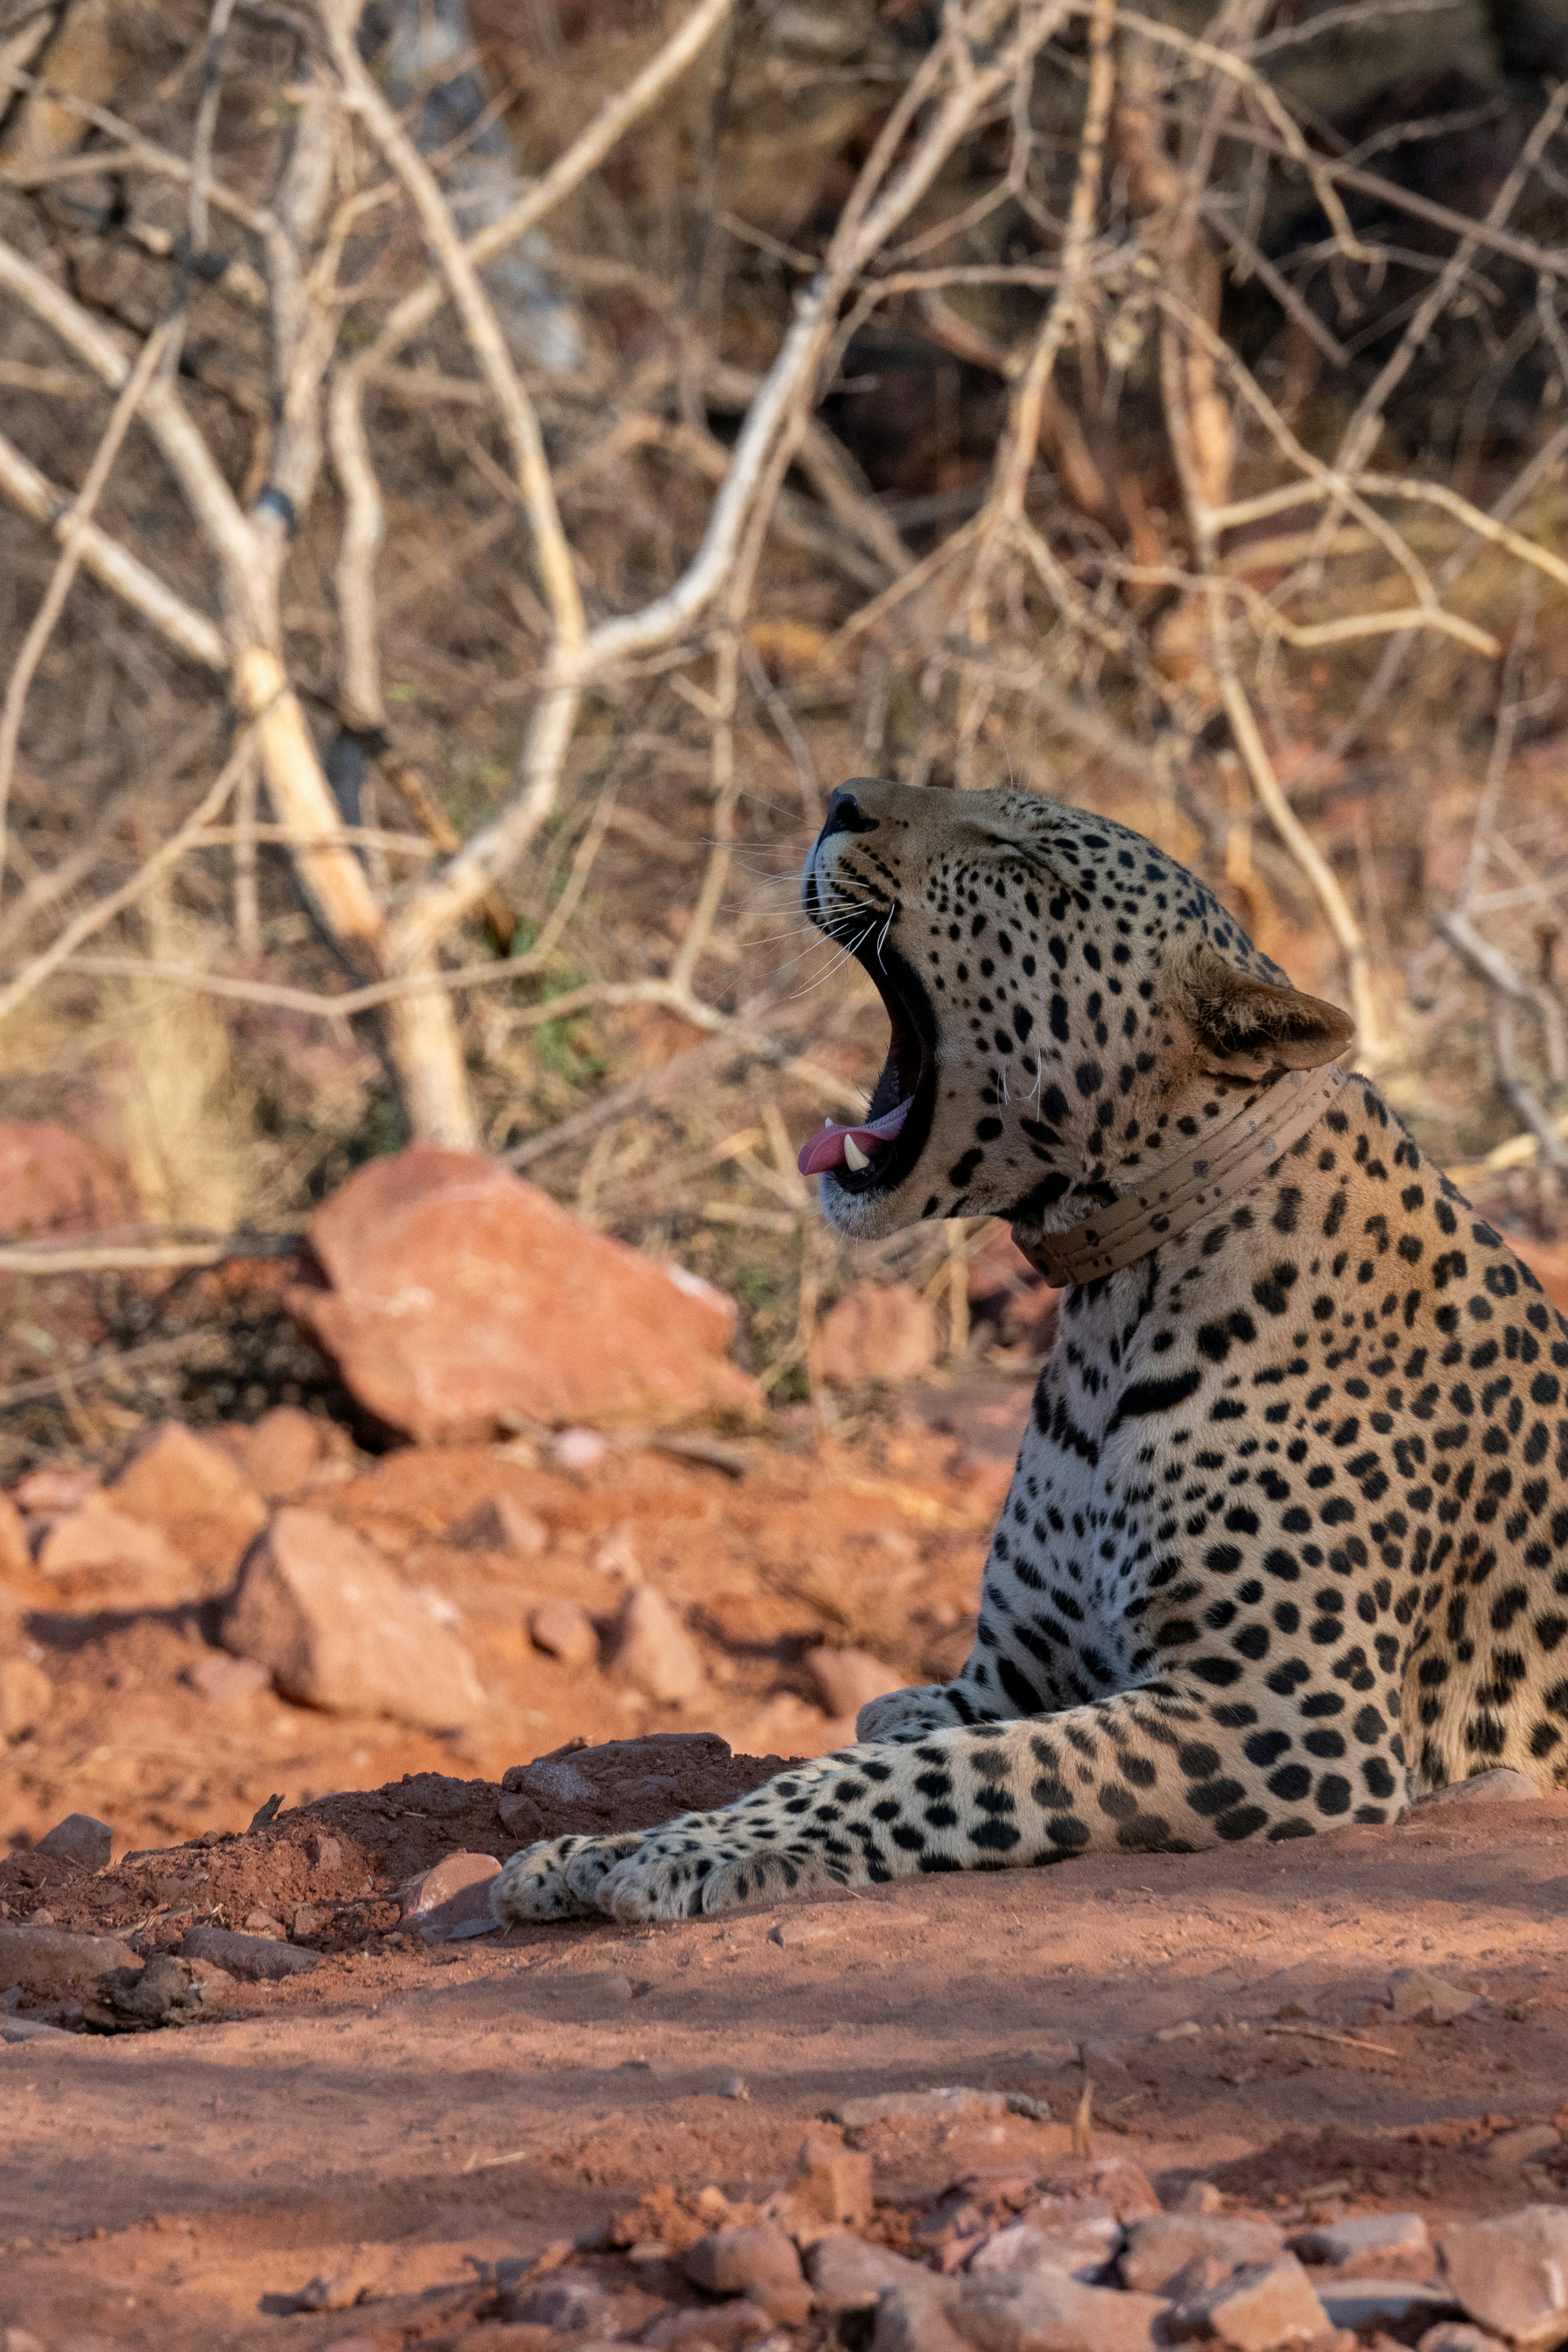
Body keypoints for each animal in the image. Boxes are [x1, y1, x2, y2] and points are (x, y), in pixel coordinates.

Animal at [493, 778, 1568, 1928]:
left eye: (1027, 862)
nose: (842, 800)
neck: (1113, 1308)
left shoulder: (1282, 1711)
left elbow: (921, 1771)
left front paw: (681, 1850)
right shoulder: (1011, 1676)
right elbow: (885, 1741)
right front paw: (588, 1849)